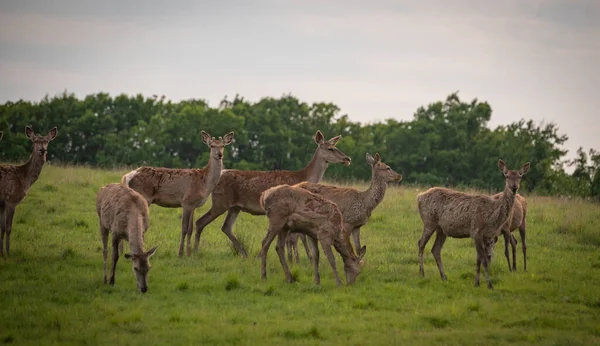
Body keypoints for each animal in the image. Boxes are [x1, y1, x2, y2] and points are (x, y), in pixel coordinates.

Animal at [0, 125, 58, 255]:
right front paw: (8, 253)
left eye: (47, 141)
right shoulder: (11, 199)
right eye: (35, 141)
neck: (24, 178)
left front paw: (1, 253)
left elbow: (2, 228)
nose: (42, 150)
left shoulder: (2, 203)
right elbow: (8, 228)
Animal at [192, 131, 352, 258]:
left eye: (336, 146)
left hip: (234, 207)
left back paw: (246, 254)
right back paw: (195, 251)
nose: (347, 158)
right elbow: (296, 237)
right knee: (201, 221)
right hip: (220, 202)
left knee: (226, 227)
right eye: (331, 148)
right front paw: (299, 258)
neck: (303, 176)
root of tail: (219, 175)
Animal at [418, 159, 528, 290]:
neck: (492, 216)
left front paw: (477, 283)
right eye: (506, 175)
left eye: (520, 176)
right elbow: (484, 260)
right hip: (429, 222)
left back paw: (444, 277)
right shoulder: (476, 231)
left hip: (442, 229)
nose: (514, 187)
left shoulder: (486, 236)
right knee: (421, 244)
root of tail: (419, 197)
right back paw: (422, 274)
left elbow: (479, 260)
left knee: (435, 249)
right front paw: (489, 285)